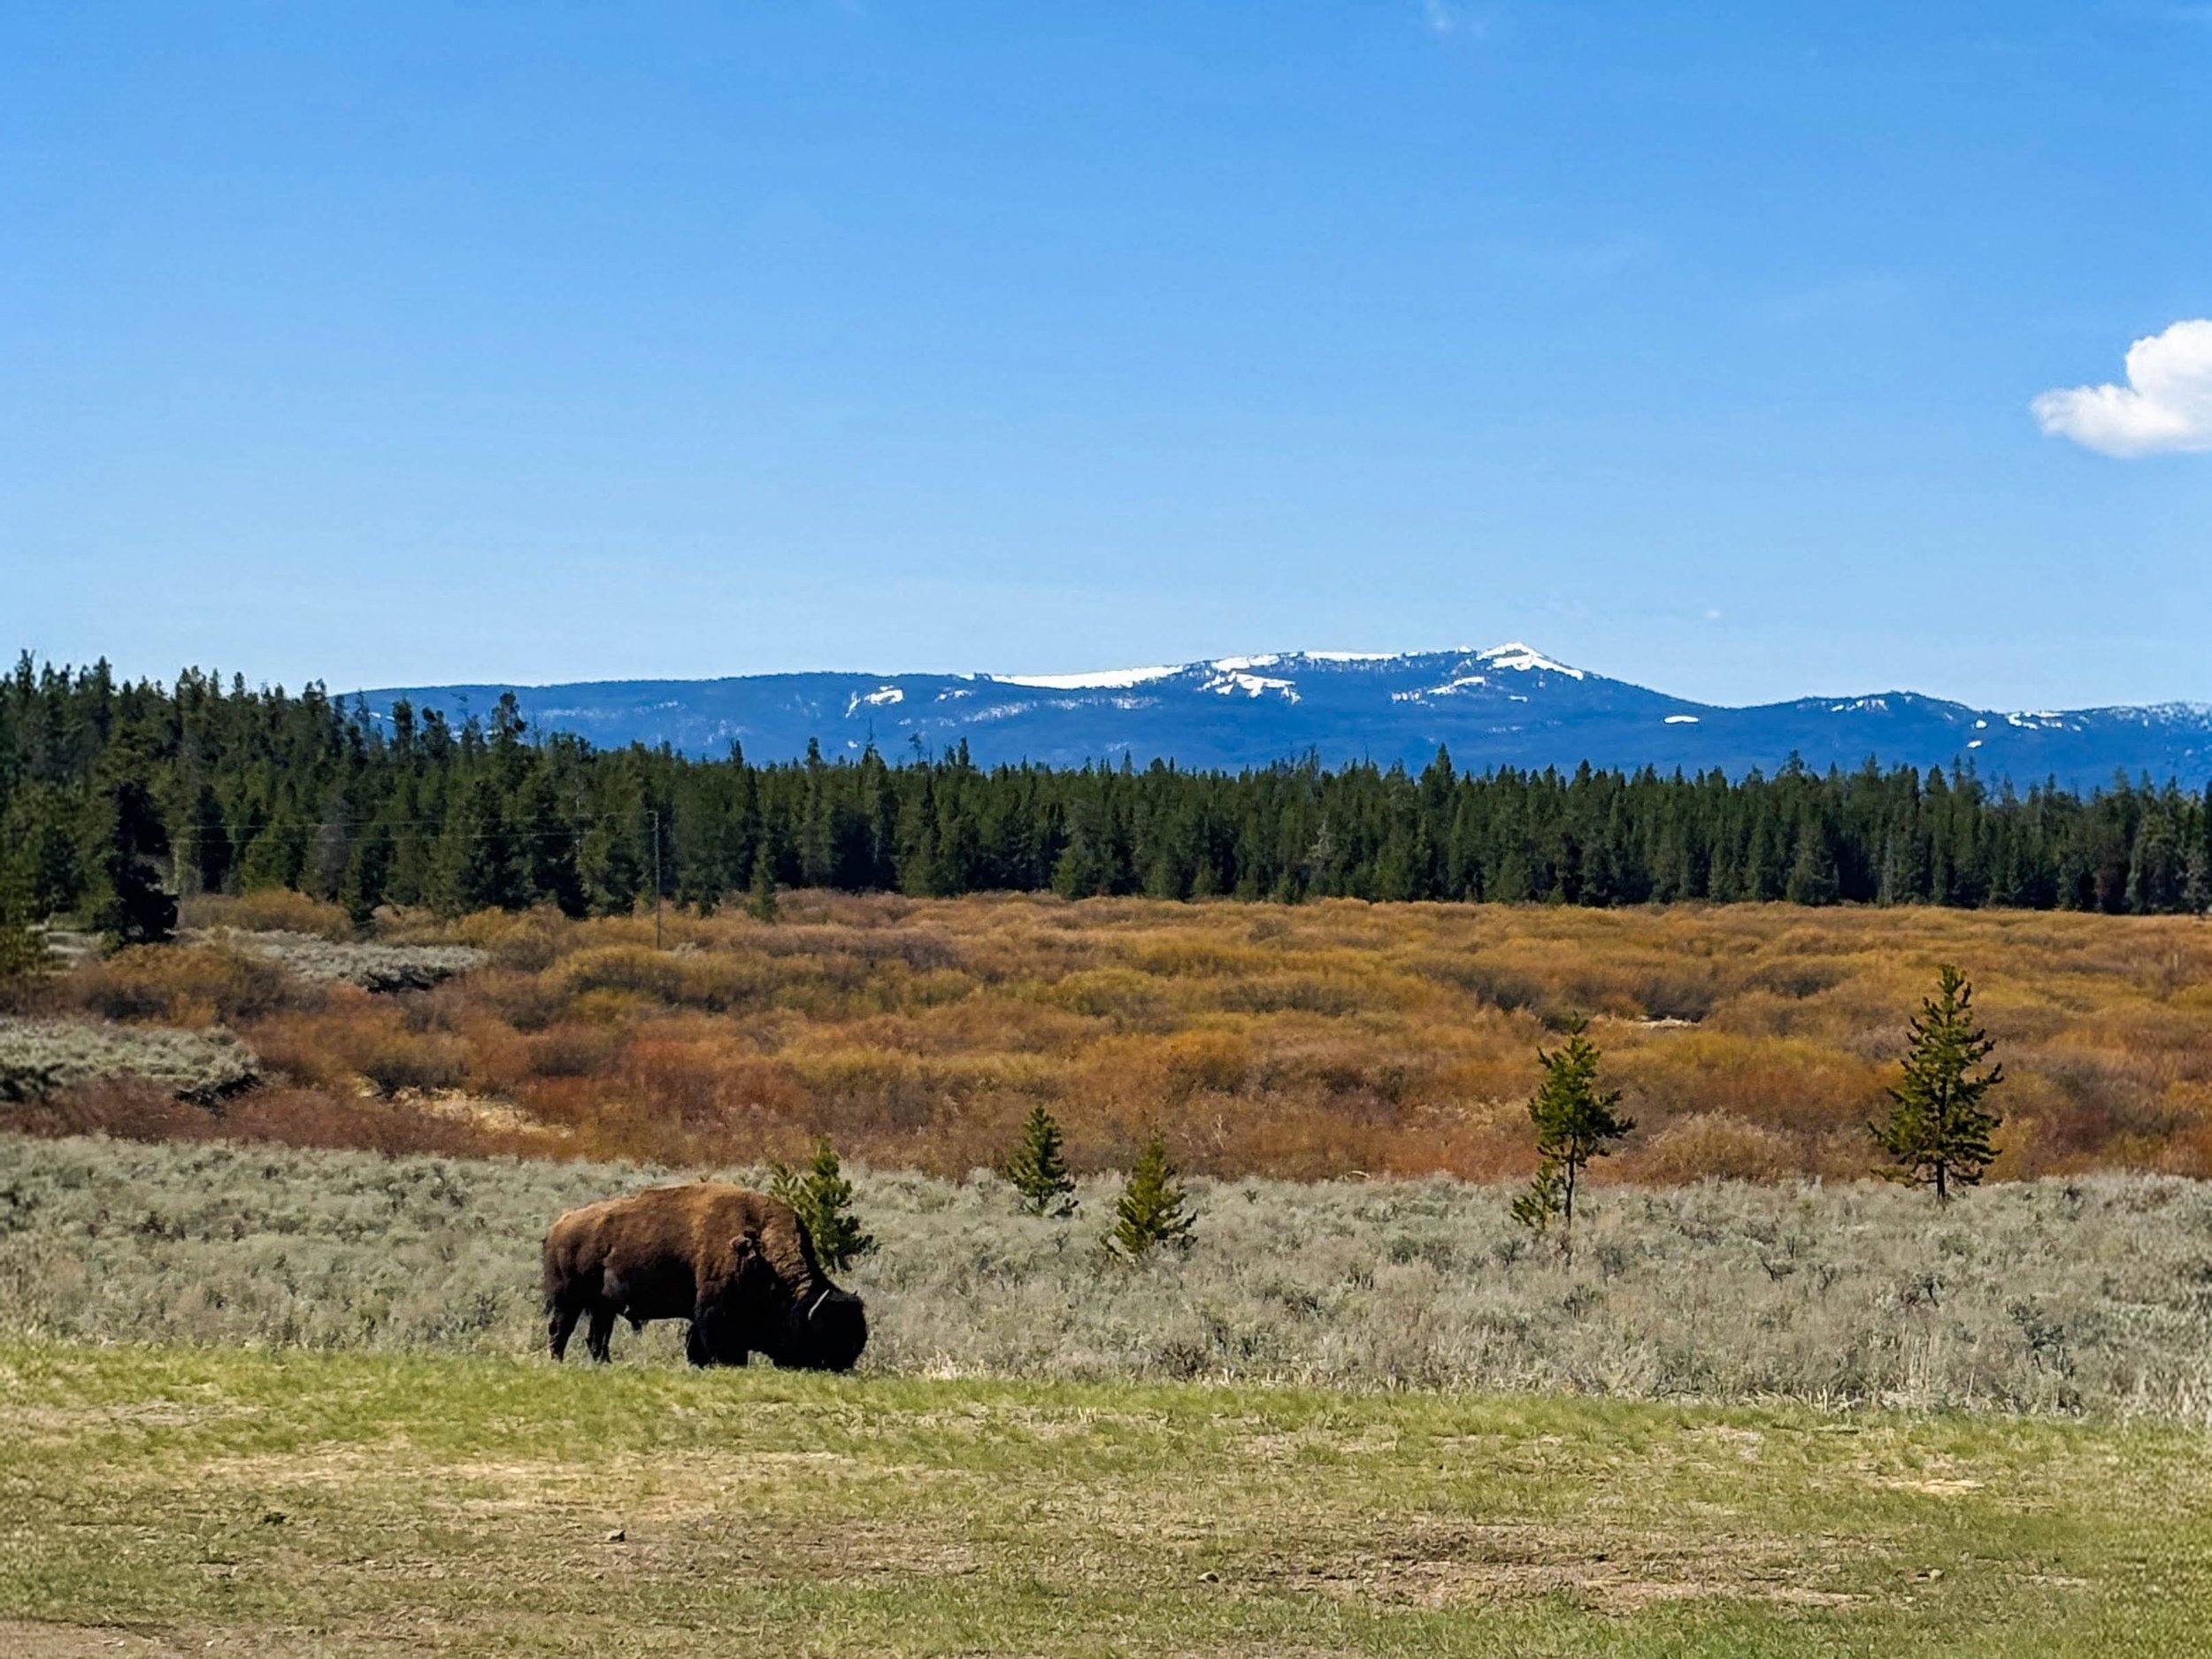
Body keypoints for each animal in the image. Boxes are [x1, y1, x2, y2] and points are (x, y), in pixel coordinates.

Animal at [542, 1182, 867, 1372]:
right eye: (824, 1336)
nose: (842, 1366)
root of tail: (559, 1226)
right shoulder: (715, 1311)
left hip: (602, 1307)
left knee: (597, 1337)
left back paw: (605, 1365)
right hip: (568, 1300)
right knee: (561, 1330)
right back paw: (558, 1362)